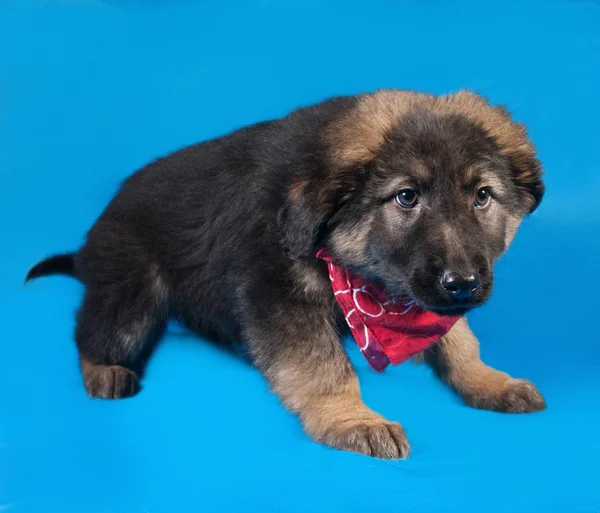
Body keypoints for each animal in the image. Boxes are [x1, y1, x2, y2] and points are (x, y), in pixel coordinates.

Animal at [27, 89, 544, 460]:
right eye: (406, 197)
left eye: (482, 196)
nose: (463, 284)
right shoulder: (281, 297)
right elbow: (324, 366)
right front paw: (351, 419)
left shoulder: (427, 295)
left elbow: (458, 339)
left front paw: (487, 380)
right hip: (132, 291)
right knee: (97, 329)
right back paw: (104, 368)